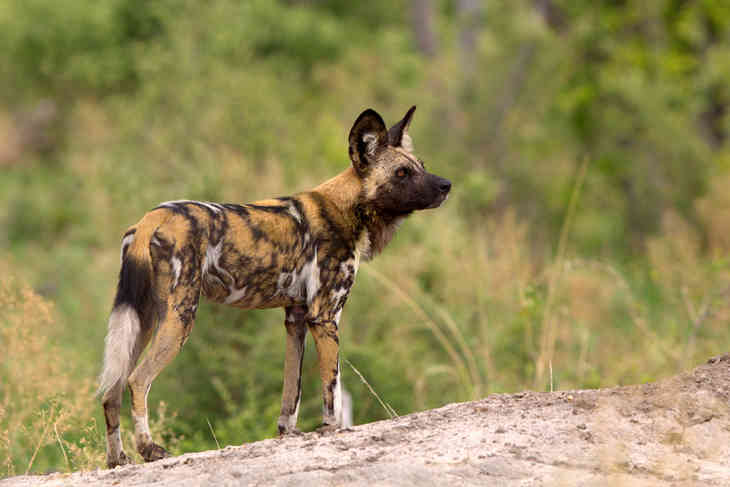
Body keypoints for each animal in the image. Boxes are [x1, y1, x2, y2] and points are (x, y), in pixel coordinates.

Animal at [96, 107, 450, 468]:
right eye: (402, 173)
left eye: (421, 165)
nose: (446, 185)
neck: (347, 207)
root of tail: (150, 219)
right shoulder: (325, 316)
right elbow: (331, 389)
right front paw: (331, 430)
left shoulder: (296, 318)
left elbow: (291, 393)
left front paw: (289, 435)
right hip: (179, 318)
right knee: (137, 380)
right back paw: (149, 449)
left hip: (144, 321)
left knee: (111, 389)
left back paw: (118, 460)